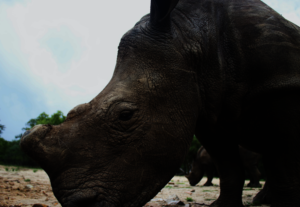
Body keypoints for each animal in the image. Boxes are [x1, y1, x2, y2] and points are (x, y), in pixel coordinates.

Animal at [21, 0, 300, 206]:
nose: (77, 204)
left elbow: (286, 155)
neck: (192, 37)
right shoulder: (208, 114)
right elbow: (227, 164)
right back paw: (263, 199)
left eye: (125, 115)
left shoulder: (283, 86)